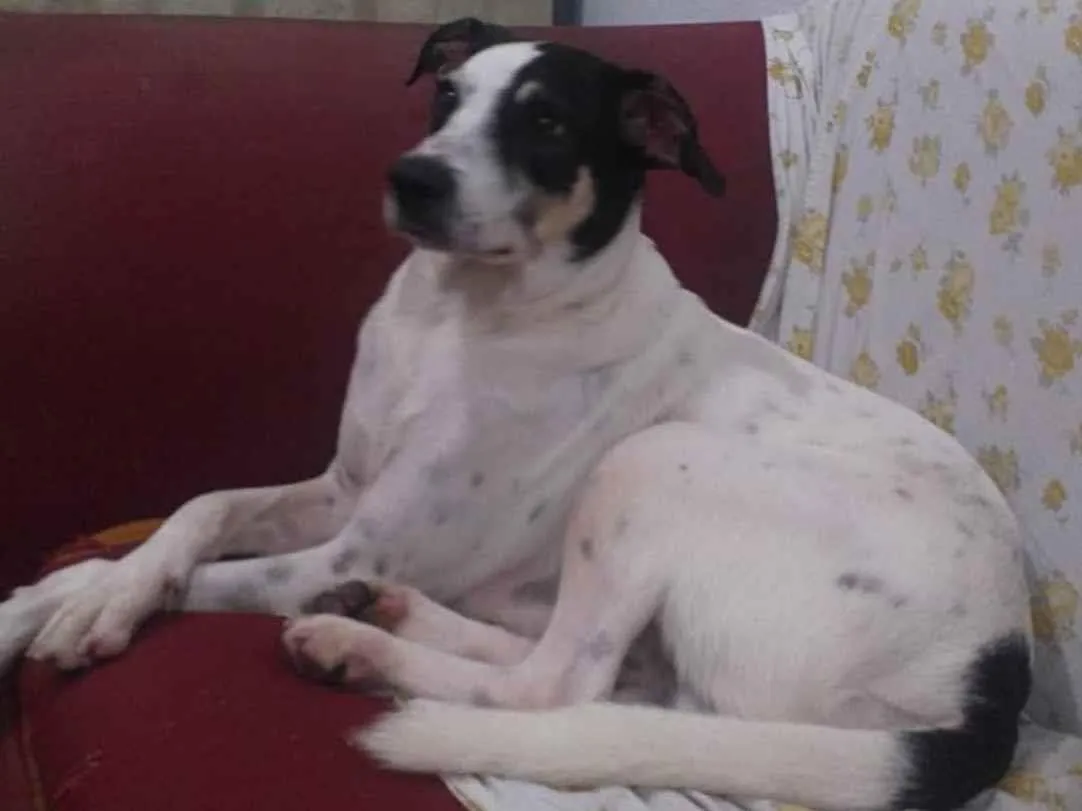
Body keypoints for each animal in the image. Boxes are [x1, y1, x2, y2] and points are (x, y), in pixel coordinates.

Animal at [0, 18, 1031, 811]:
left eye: (545, 121)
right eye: (446, 96)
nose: (411, 177)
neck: (456, 313)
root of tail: (996, 675)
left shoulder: (351, 541)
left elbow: (172, 573)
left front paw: (81, 607)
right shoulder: (343, 493)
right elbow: (195, 511)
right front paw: (83, 595)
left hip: (656, 461)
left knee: (560, 686)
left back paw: (357, 642)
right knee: (605, 680)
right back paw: (386, 616)